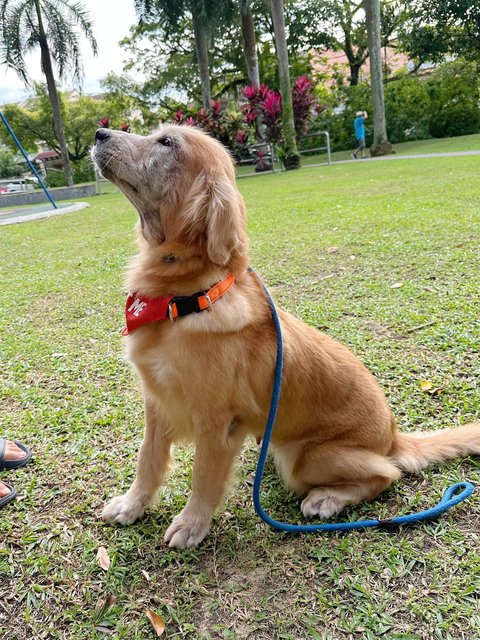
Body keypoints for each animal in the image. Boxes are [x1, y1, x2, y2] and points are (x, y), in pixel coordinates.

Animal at [91, 126, 480, 552]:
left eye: (167, 143)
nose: (99, 132)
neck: (185, 299)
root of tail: (393, 438)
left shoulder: (218, 425)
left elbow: (204, 478)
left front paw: (192, 524)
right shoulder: (157, 402)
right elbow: (148, 459)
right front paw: (132, 505)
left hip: (305, 456)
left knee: (385, 474)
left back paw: (327, 498)